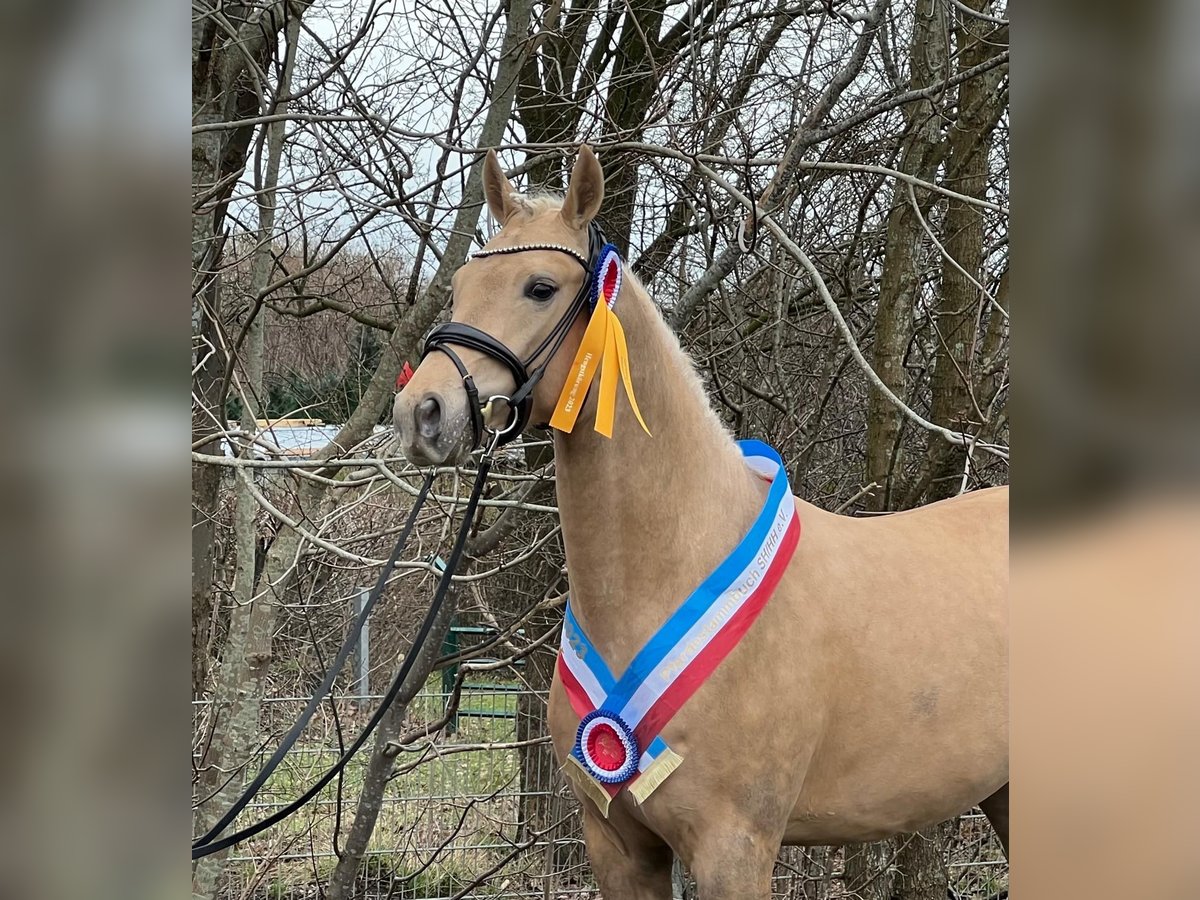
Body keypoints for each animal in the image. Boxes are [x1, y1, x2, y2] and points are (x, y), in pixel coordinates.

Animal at [391, 144, 1003, 897]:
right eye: (460, 286)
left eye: (540, 287)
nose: (422, 413)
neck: (678, 567)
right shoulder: (619, 847)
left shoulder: (732, 851)